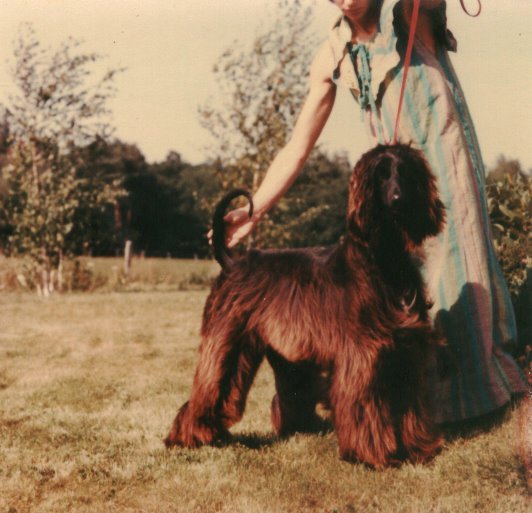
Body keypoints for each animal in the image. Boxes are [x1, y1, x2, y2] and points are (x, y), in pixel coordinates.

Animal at [165, 144, 445, 468]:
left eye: (407, 171)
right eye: (381, 174)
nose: (399, 200)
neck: (385, 261)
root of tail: (232, 262)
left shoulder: (407, 352)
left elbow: (409, 406)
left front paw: (416, 450)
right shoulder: (363, 355)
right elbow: (365, 408)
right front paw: (372, 455)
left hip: (285, 351)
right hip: (227, 341)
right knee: (209, 389)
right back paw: (189, 438)